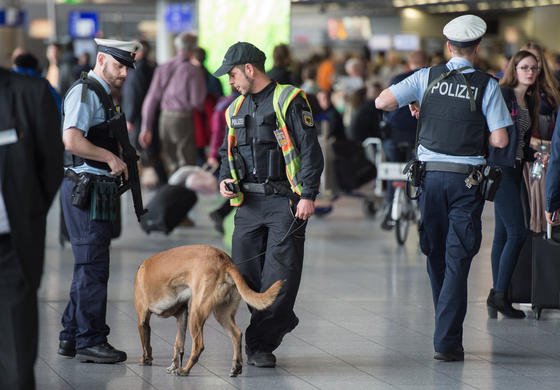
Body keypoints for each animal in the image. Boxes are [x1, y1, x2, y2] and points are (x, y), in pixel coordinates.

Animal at [133, 245, 282, 376]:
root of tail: (225, 261)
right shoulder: (182, 316)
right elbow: (178, 344)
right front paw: (173, 365)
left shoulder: (142, 319)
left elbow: (146, 345)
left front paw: (146, 360)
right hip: (221, 314)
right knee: (237, 334)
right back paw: (236, 367)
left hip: (196, 313)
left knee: (199, 345)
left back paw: (185, 370)